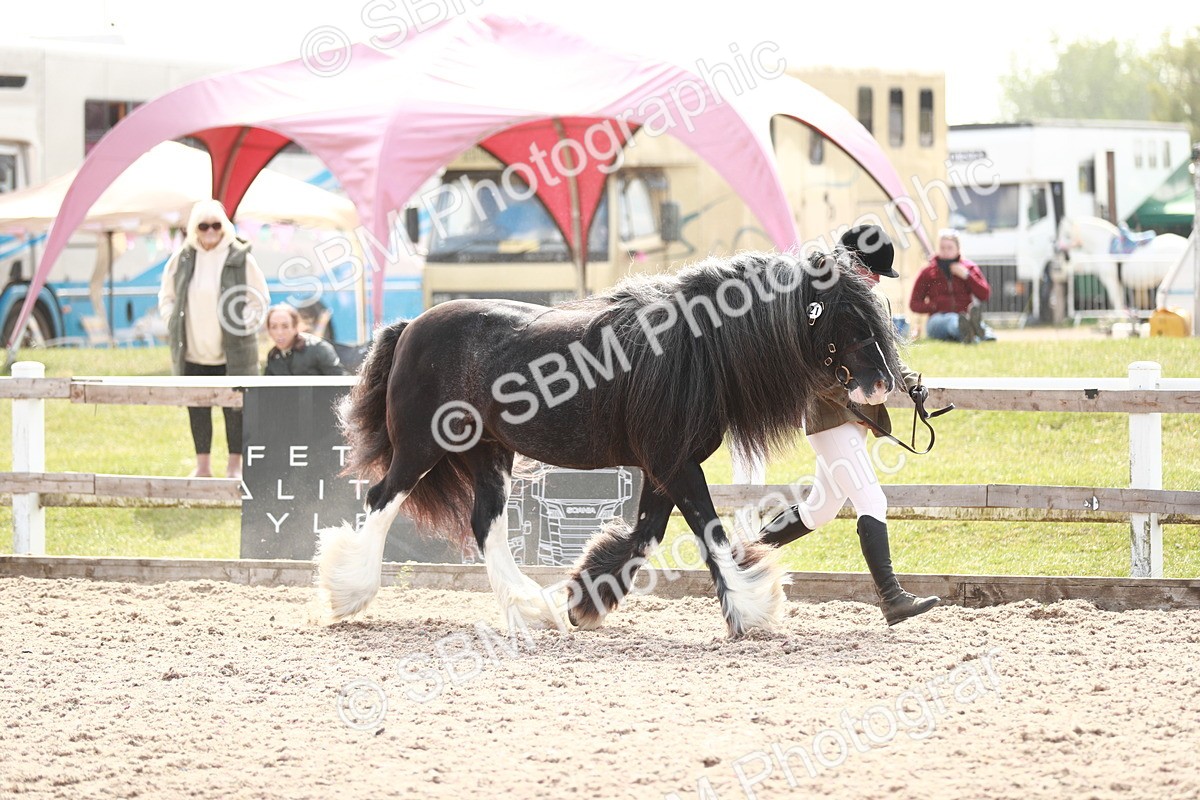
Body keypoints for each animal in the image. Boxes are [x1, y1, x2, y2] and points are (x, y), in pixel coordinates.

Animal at [313, 249, 904, 638]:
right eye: (849, 319)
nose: (883, 385)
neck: (694, 348)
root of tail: (409, 326)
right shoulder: (675, 463)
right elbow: (707, 533)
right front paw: (752, 610)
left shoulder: (666, 466)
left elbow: (644, 535)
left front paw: (584, 602)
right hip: (421, 447)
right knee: (382, 500)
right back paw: (348, 592)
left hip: (489, 454)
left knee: (486, 524)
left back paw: (531, 611)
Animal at [1055, 215, 1190, 312]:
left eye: (1066, 234)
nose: (1057, 248)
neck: (1103, 244)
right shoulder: (1117, 282)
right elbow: (1119, 303)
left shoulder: (1111, 281)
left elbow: (1117, 304)